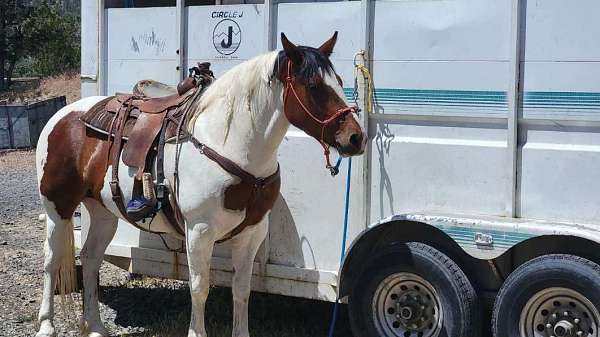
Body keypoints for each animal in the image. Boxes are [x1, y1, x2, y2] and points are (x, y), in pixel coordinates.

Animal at [36, 32, 366, 336]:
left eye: (339, 81)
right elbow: (199, 287)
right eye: (314, 86)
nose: (356, 138)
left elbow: (241, 288)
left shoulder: (252, 232)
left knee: (90, 258)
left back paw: (95, 326)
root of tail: (62, 115)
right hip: (58, 208)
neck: (229, 142)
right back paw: (46, 325)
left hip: (103, 212)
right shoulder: (199, 231)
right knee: (51, 260)